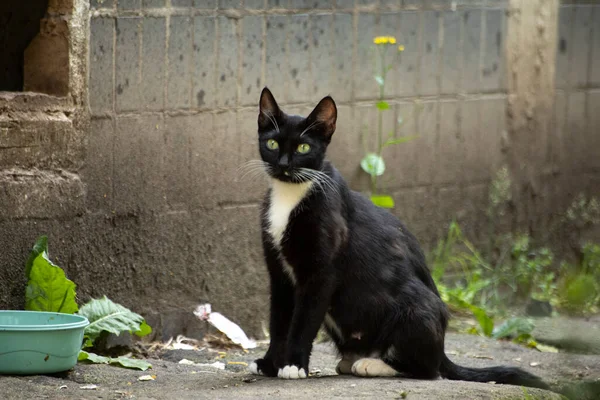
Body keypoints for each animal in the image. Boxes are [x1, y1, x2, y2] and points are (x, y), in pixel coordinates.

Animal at [247, 88, 548, 390]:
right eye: (272, 143)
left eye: (303, 148)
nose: (283, 165)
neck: (290, 194)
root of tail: (443, 351)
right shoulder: (279, 273)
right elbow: (279, 320)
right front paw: (271, 363)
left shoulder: (321, 274)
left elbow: (304, 322)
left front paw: (293, 365)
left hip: (417, 310)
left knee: (427, 370)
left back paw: (373, 364)